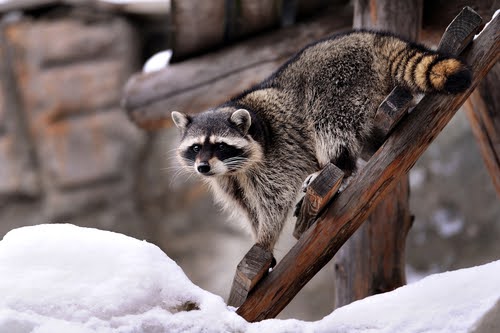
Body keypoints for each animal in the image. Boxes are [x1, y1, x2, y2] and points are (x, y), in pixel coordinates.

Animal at [170, 30, 470, 252]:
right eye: (195, 148)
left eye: (220, 145)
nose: (203, 168)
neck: (234, 168)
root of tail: (373, 38)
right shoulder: (227, 180)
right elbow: (247, 207)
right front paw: (258, 234)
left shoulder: (275, 159)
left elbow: (274, 199)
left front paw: (265, 238)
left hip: (339, 81)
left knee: (328, 123)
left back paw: (339, 165)